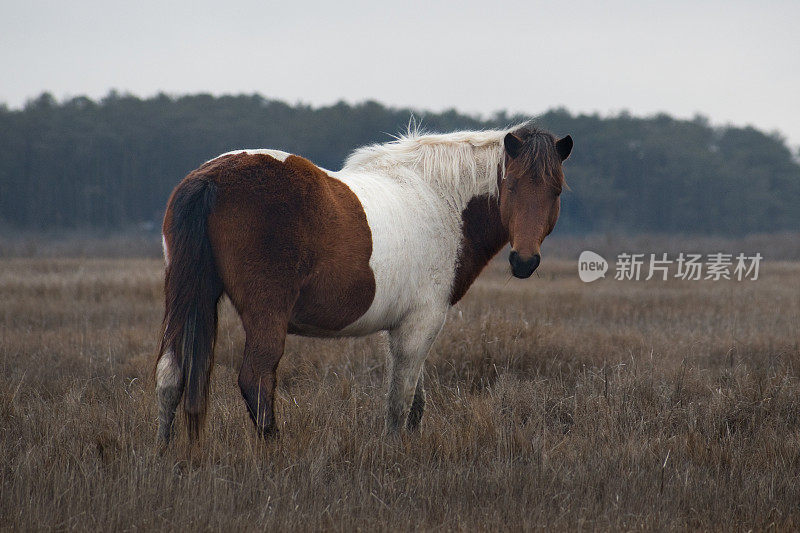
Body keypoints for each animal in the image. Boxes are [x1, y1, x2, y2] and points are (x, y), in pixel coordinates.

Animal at [155, 122, 568, 442]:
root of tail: (210, 179)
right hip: (265, 314)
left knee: (170, 376)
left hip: (185, 297)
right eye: (510, 185)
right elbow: (400, 402)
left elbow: (414, 402)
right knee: (255, 380)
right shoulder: (421, 322)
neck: (441, 199)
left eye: (556, 191)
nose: (524, 260)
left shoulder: (403, 325)